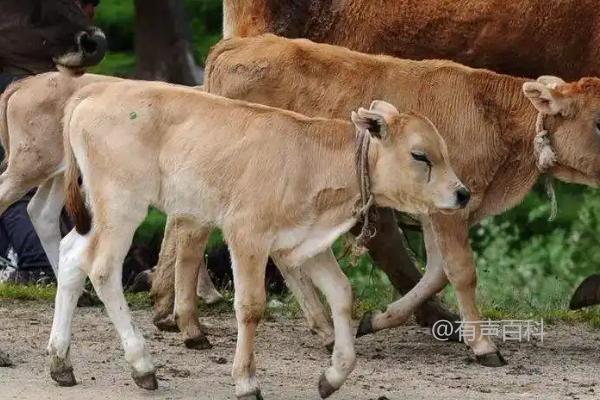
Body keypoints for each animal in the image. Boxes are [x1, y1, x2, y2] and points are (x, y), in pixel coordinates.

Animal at [51, 79, 464, 398]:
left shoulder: (306, 243)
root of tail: (98, 90)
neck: (311, 162)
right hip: (121, 203)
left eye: (445, 151)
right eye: (420, 156)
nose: (462, 194)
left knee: (71, 255)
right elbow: (250, 306)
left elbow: (342, 294)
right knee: (102, 269)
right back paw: (142, 366)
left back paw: (61, 363)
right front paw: (247, 382)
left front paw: (333, 375)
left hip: (101, 211)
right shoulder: (247, 234)